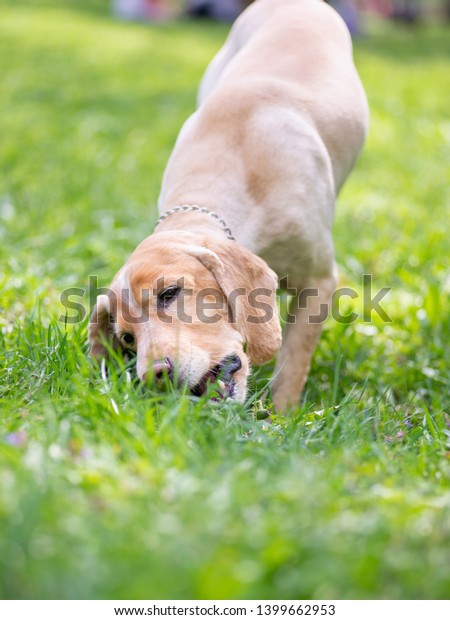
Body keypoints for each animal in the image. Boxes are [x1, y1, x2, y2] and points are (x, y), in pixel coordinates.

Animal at [89, 0, 370, 412]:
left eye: (170, 293)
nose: (156, 376)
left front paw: (281, 418)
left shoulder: (319, 282)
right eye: (127, 338)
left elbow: (291, 365)